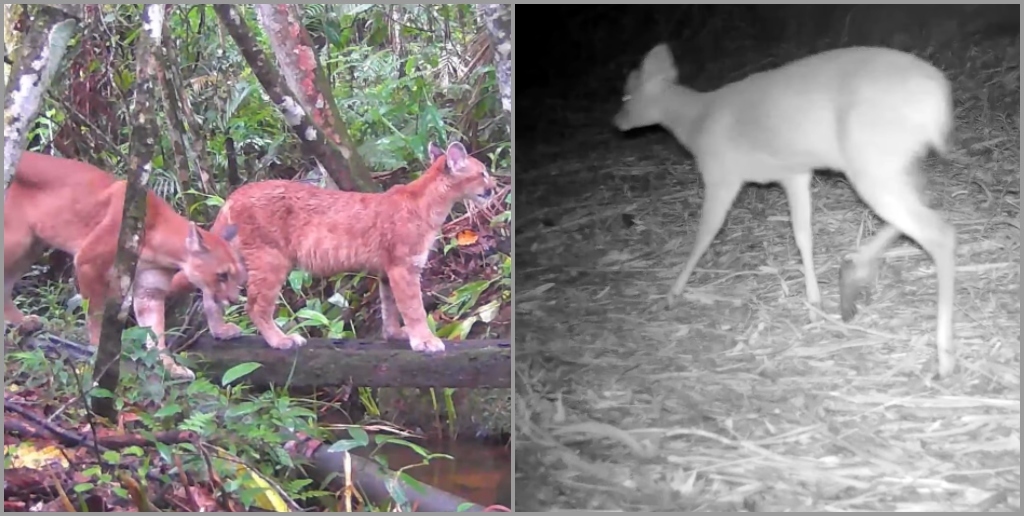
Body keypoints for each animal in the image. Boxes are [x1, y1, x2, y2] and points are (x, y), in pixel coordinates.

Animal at [614, 42, 958, 376]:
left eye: (627, 95)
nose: (616, 121)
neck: (696, 122)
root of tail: (938, 99)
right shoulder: (794, 172)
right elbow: (803, 234)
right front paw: (815, 302)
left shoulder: (721, 173)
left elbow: (705, 234)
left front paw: (672, 293)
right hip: (894, 161)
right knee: (925, 202)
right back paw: (852, 276)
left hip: (873, 160)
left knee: (939, 233)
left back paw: (943, 359)